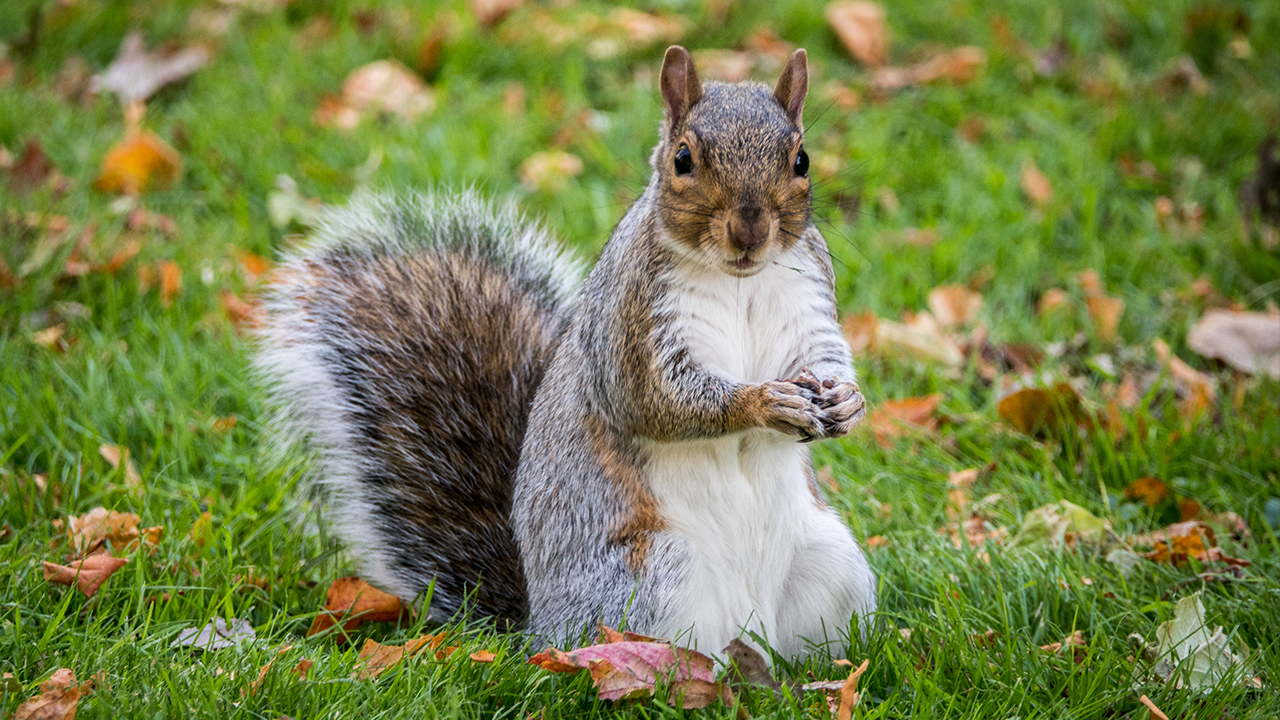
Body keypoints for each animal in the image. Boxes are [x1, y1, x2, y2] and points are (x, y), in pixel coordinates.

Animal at [256, 46, 876, 660]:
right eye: (683, 159)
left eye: (802, 161)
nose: (750, 232)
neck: (738, 279)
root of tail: (537, 629)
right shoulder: (631, 323)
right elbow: (655, 400)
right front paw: (765, 403)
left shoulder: (808, 301)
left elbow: (824, 356)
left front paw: (848, 403)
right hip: (652, 579)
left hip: (832, 566)